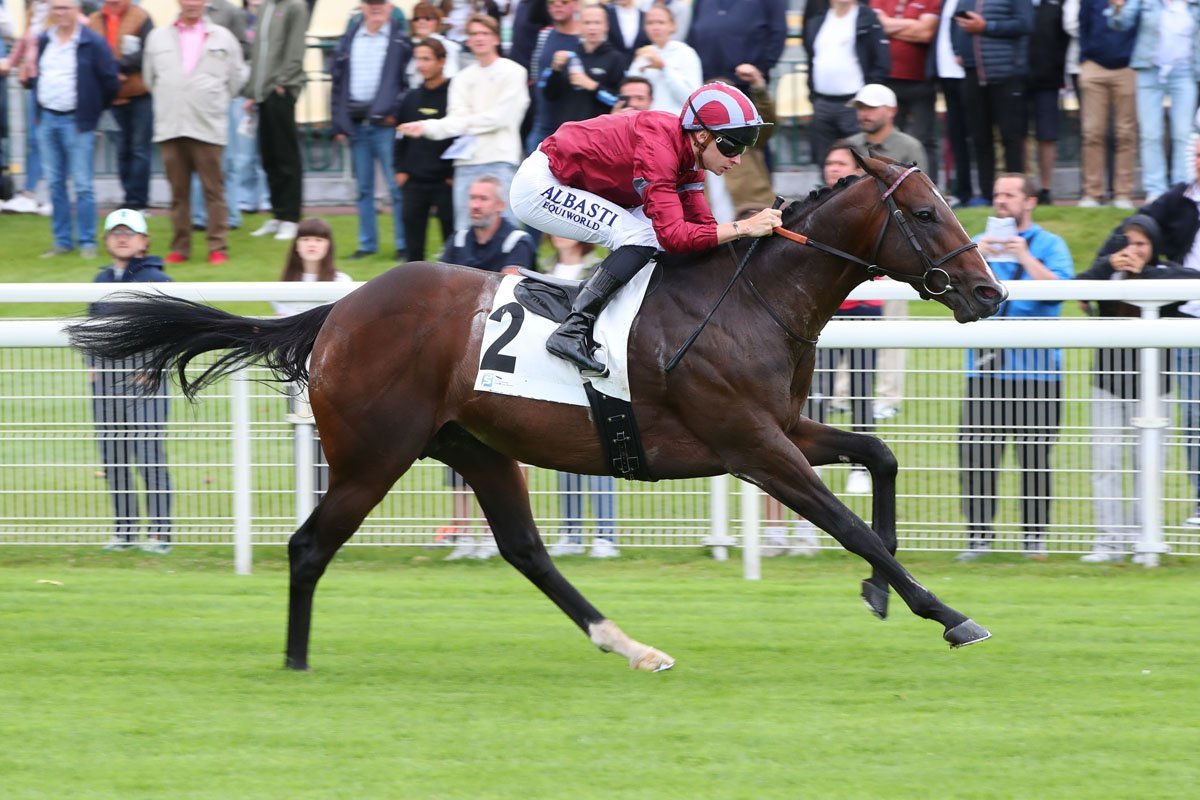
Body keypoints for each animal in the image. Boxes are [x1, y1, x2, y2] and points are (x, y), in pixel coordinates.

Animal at [67, 153, 1007, 673]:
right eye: (924, 212)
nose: (990, 294)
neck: (751, 298)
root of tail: (337, 312)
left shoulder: (782, 429)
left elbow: (878, 457)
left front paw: (881, 591)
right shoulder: (750, 443)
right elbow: (844, 520)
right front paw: (944, 612)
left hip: (477, 446)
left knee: (525, 551)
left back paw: (631, 647)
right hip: (375, 453)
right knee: (308, 547)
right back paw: (295, 663)